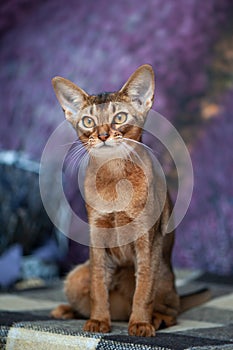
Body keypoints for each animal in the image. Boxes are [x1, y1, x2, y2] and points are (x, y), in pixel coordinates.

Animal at [50, 64, 209, 334]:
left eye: (120, 118)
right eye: (88, 121)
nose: (103, 135)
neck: (115, 177)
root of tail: (121, 313)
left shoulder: (147, 240)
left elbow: (143, 288)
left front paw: (141, 324)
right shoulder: (98, 235)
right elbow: (98, 286)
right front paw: (99, 321)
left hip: (164, 276)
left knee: (172, 309)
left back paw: (155, 319)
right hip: (76, 276)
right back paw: (68, 310)